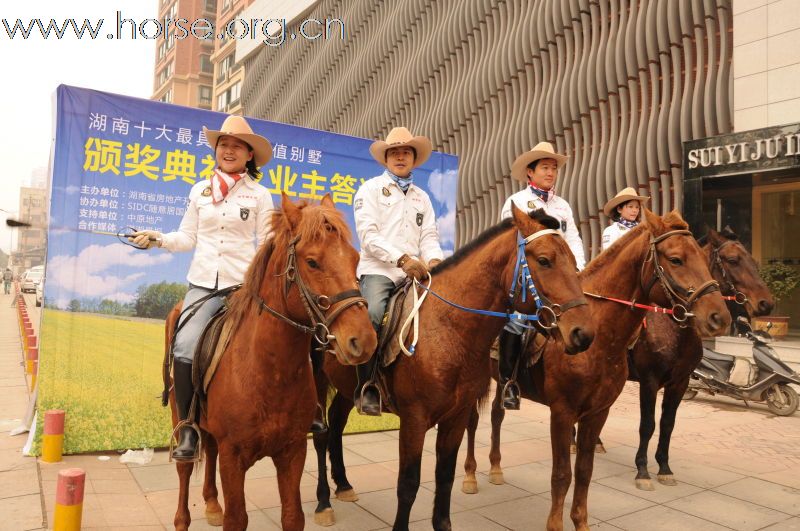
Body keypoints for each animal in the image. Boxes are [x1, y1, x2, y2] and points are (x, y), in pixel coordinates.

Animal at [166, 196, 378, 531]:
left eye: (356, 259)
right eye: (312, 262)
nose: (364, 340)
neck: (269, 372)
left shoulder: (292, 451)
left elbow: (292, 516)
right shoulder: (233, 456)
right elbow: (236, 518)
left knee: (209, 451)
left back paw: (212, 504)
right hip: (181, 418)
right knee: (185, 470)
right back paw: (183, 518)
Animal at [312, 207, 592, 531]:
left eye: (575, 262)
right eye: (545, 260)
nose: (583, 333)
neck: (449, 329)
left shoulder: (456, 417)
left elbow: (445, 476)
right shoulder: (414, 418)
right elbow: (408, 483)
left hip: (348, 390)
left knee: (336, 426)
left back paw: (344, 485)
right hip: (316, 380)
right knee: (321, 434)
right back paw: (323, 503)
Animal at [462, 210, 732, 531]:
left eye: (704, 259)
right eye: (676, 259)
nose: (719, 317)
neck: (600, 336)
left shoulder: (598, 412)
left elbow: (584, 471)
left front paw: (581, 522)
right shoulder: (562, 412)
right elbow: (561, 474)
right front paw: (555, 525)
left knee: (496, 414)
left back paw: (496, 468)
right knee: (472, 422)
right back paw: (470, 476)